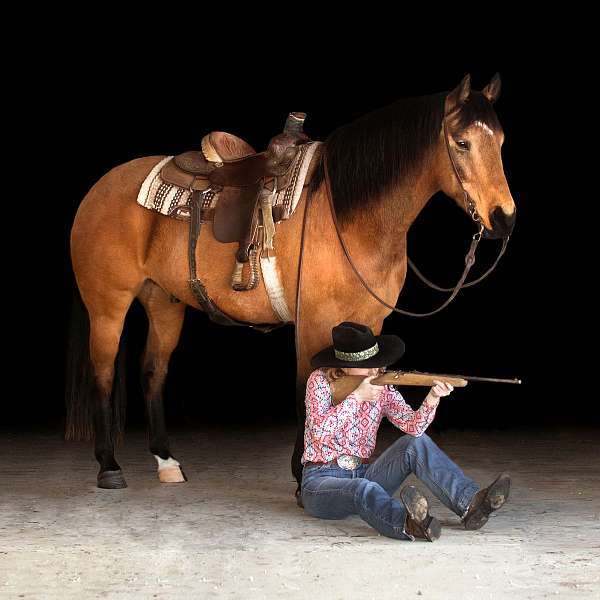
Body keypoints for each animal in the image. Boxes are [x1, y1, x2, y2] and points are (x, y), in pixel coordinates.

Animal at [65, 72, 516, 500]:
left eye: (500, 142)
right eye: (462, 143)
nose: (504, 218)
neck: (345, 214)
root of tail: (98, 188)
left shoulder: (369, 322)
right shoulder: (313, 322)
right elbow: (308, 390)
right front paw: (305, 475)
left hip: (164, 302)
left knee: (153, 372)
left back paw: (166, 462)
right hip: (108, 306)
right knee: (104, 373)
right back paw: (109, 466)